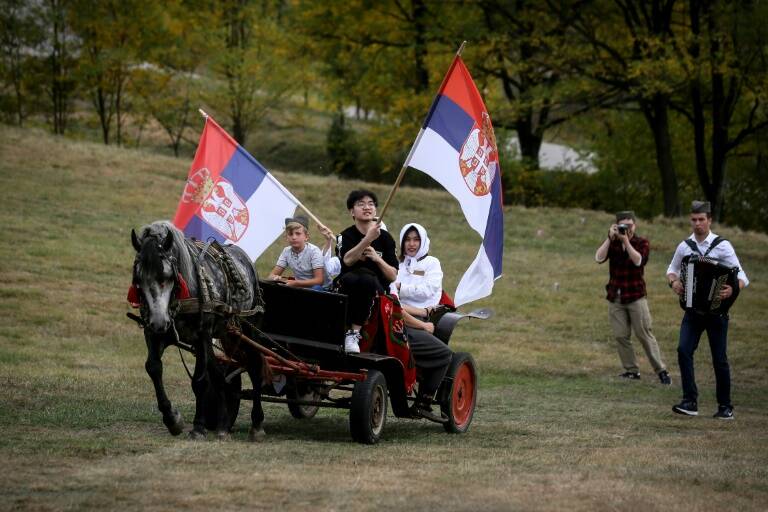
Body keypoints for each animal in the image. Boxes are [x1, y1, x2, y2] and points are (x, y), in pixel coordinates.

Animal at [130, 220, 268, 440]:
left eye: (168, 276)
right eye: (138, 280)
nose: (160, 322)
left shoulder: (201, 335)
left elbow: (200, 381)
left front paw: (198, 427)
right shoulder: (153, 333)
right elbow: (153, 368)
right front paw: (172, 419)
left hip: (249, 330)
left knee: (254, 367)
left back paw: (257, 424)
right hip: (227, 334)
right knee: (220, 374)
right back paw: (223, 423)